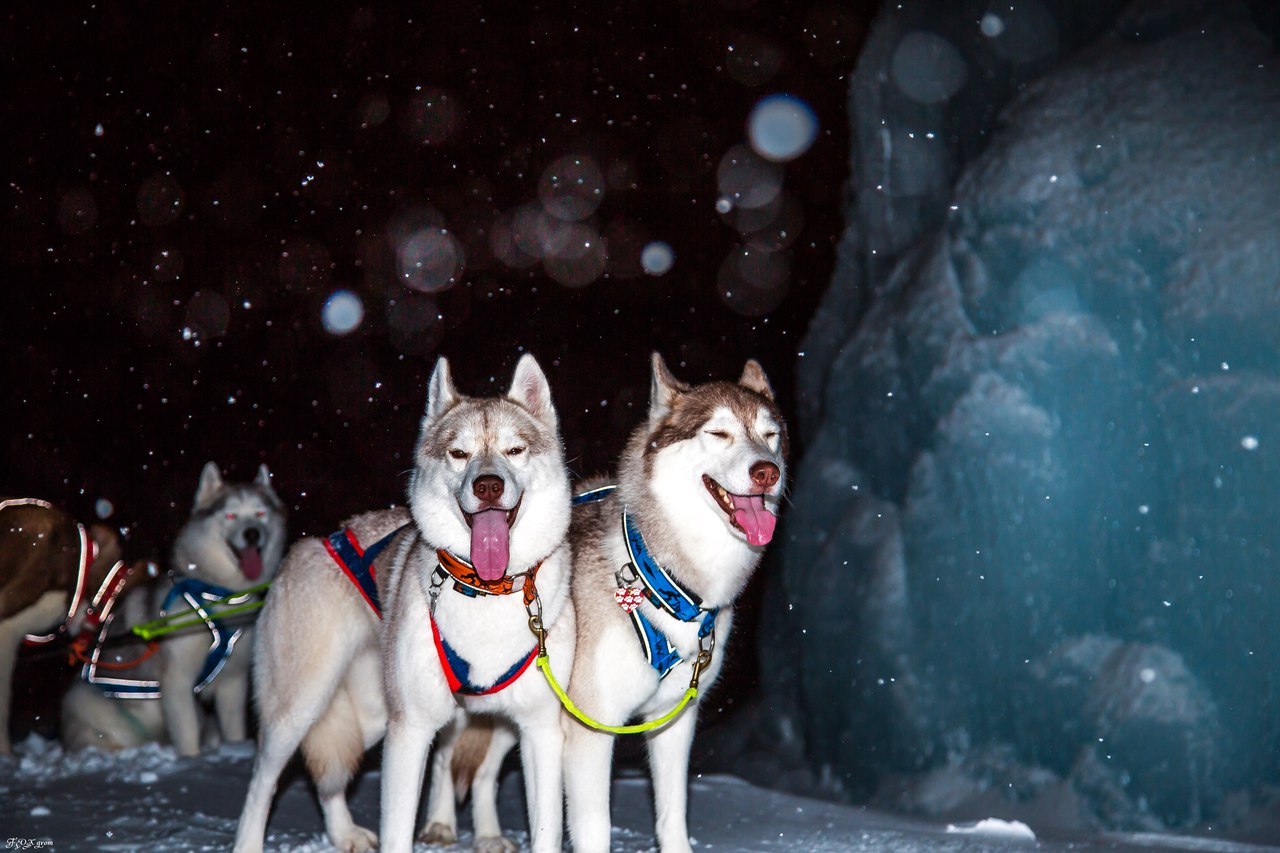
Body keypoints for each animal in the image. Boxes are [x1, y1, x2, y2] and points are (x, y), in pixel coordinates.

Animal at [60, 466, 285, 753]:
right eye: (231, 515)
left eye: (260, 514)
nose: (252, 533)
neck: (217, 594)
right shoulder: (177, 679)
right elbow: (187, 734)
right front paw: (192, 760)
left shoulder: (233, 680)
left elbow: (233, 729)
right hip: (87, 700)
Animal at [232, 356, 573, 850]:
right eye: (458, 454)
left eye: (514, 450)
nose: (488, 485)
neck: (484, 590)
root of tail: (313, 542)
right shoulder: (410, 731)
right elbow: (398, 828)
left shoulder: (540, 730)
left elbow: (543, 826)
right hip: (304, 708)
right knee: (264, 781)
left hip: (372, 714)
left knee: (331, 779)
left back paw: (347, 833)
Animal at [563, 353, 783, 850]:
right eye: (718, 433)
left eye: (770, 435)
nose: (767, 472)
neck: (663, 582)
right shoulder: (590, 730)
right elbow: (594, 828)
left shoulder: (673, 722)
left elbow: (672, 814)